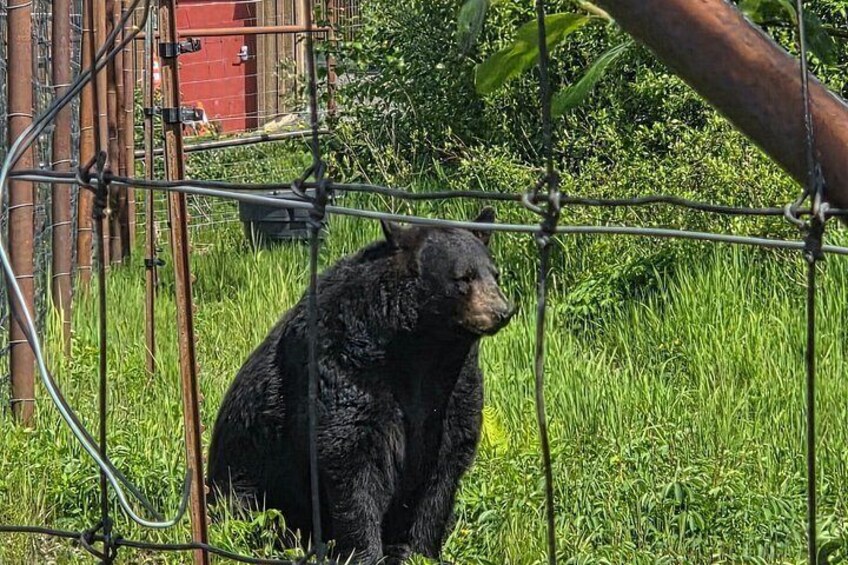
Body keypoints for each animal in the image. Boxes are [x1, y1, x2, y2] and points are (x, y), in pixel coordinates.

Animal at [206, 208, 514, 564]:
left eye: (495, 274)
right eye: (463, 277)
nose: (502, 311)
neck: (421, 347)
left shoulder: (454, 384)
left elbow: (444, 466)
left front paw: (420, 551)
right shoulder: (346, 364)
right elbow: (353, 458)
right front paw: (366, 551)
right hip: (245, 478)